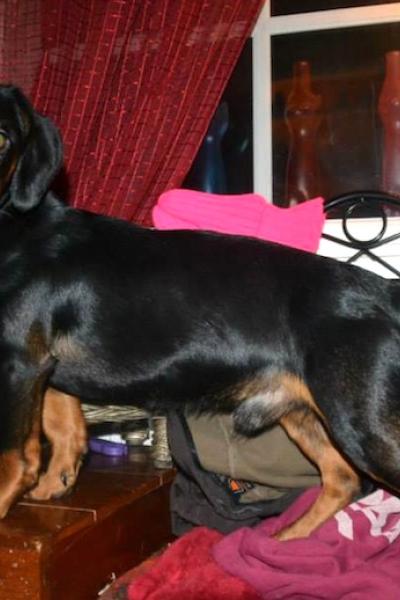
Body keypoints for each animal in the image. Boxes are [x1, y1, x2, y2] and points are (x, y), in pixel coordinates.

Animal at [0, 84, 399, 541]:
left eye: (2, 136)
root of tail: (383, 290)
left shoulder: (18, 363)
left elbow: (13, 454)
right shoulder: (44, 368)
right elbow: (63, 430)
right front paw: (54, 485)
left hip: (363, 425)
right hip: (301, 411)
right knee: (341, 479)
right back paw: (281, 541)